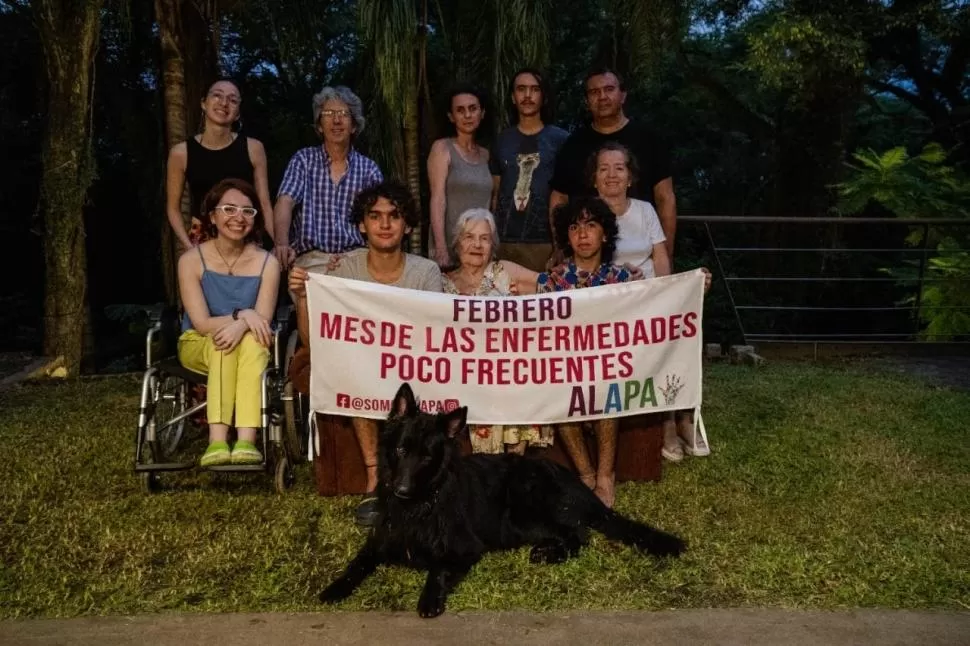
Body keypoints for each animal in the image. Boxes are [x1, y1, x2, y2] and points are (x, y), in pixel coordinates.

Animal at [318, 384, 680, 616]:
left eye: (427, 458)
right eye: (401, 450)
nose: (401, 490)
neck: (419, 504)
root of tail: (574, 480)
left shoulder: (464, 549)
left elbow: (439, 568)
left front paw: (430, 599)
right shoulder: (378, 542)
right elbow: (356, 564)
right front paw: (334, 588)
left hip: (523, 507)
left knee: (579, 535)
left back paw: (550, 553)